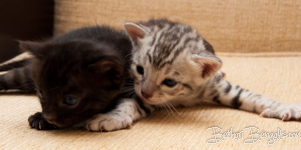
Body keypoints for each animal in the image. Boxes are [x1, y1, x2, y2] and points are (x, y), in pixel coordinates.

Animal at [84, 18, 300, 131]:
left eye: (170, 82)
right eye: (140, 70)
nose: (145, 92)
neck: (185, 96)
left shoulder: (217, 86)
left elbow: (254, 97)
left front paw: (284, 107)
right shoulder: (148, 96)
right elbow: (131, 103)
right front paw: (111, 118)